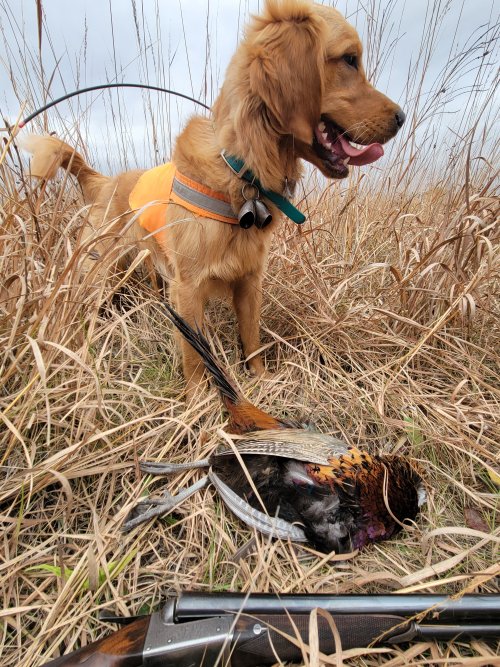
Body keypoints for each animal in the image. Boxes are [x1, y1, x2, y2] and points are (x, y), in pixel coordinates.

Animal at [24, 0, 406, 396]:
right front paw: (198, 399)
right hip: (99, 271)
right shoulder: (188, 289)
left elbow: (251, 337)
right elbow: (195, 355)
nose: (401, 117)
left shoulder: (250, 281)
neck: (241, 174)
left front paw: (260, 380)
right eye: (349, 59)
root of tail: (103, 180)